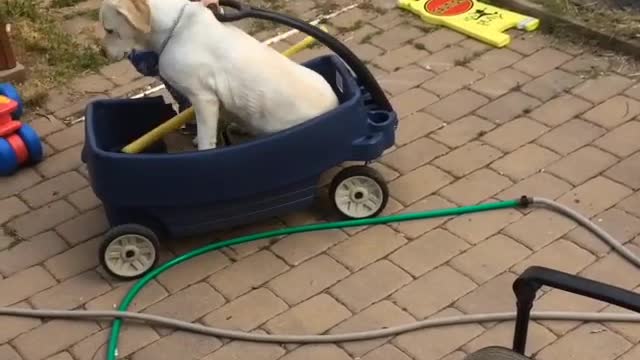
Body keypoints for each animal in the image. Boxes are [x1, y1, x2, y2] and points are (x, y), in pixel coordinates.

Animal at [99, 0, 340, 149]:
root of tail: (337, 103)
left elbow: (207, 139)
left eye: (109, 30)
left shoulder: (204, 99)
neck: (175, 29)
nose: (102, 53)